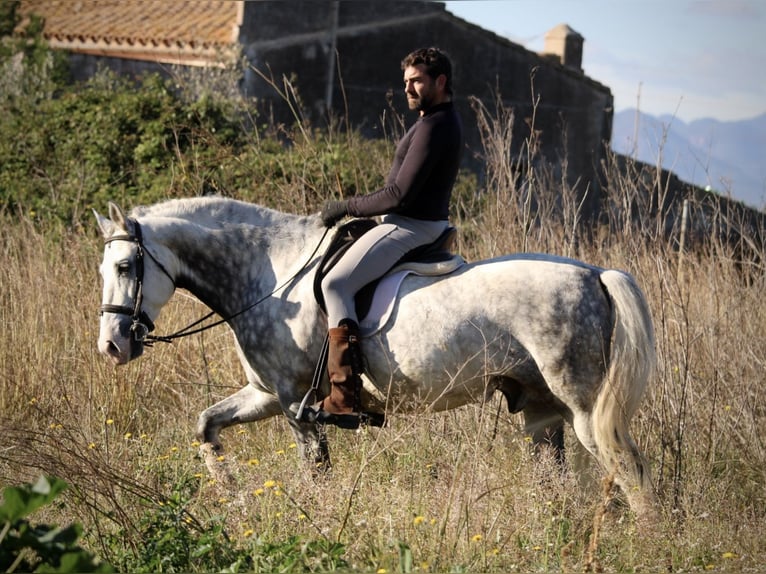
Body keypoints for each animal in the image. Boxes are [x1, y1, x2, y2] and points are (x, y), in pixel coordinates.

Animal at [94, 196, 660, 520]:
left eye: (124, 266)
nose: (112, 346)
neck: (270, 273)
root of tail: (596, 274)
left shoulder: (296, 403)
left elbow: (316, 473)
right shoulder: (266, 394)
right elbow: (206, 425)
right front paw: (232, 495)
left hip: (584, 412)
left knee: (631, 472)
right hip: (540, 412)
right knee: (559, 480)